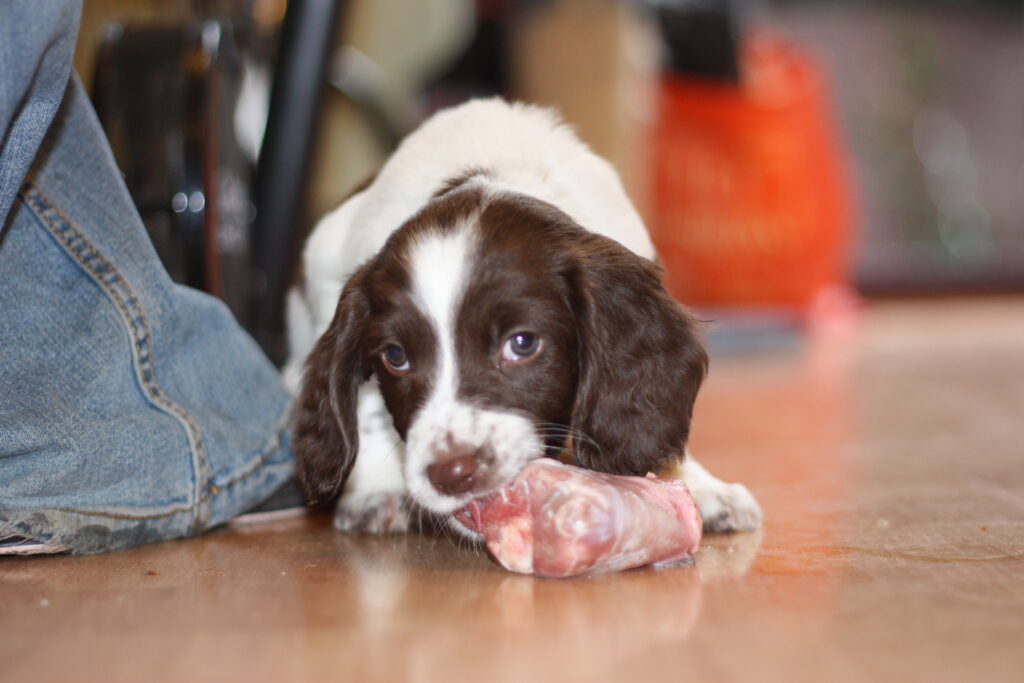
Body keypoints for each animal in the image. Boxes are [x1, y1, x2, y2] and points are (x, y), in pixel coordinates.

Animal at [286, 98, 761, 540]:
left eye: (522, 343)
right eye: (395, 356)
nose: (452, 474)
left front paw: (694, 483)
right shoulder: (327, 267)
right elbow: (365, 405)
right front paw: (376, 489)